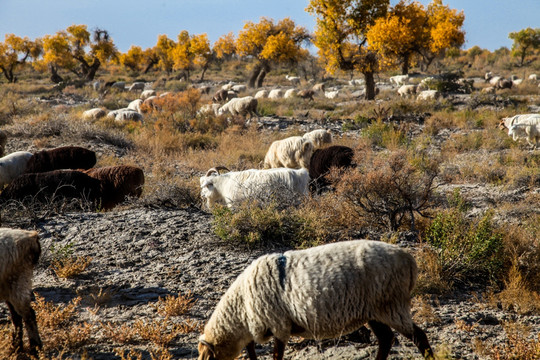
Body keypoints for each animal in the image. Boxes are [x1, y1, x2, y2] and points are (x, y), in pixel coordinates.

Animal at [198, 239, 434, 360]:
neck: (241, 309)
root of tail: (409, 259)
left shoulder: (279, 325)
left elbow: (275, 355)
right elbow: (252, 351)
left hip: (391, 304)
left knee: (419, 337)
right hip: (375, 311)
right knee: (386, 339)